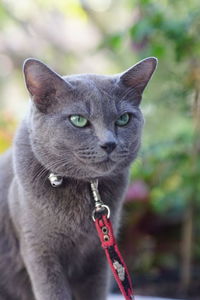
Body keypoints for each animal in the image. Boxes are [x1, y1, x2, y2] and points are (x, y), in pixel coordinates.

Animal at [0, 56, 156, 300]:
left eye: (123, 119)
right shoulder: (39, 250)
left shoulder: (98, 257)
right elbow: (53, 292)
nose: (109, 143)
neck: (87, 188)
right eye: (78, 120)